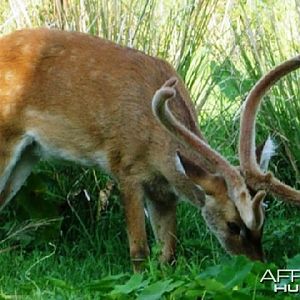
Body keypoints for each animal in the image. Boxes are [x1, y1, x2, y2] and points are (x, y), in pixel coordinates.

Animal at [0, 28, 298, 272]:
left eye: (264, 223)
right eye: (233, 225)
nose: (259, 266)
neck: (156, 146)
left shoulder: (164, 192)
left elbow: (169, 253)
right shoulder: (126, 168)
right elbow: (139, 251)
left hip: (28, 154)